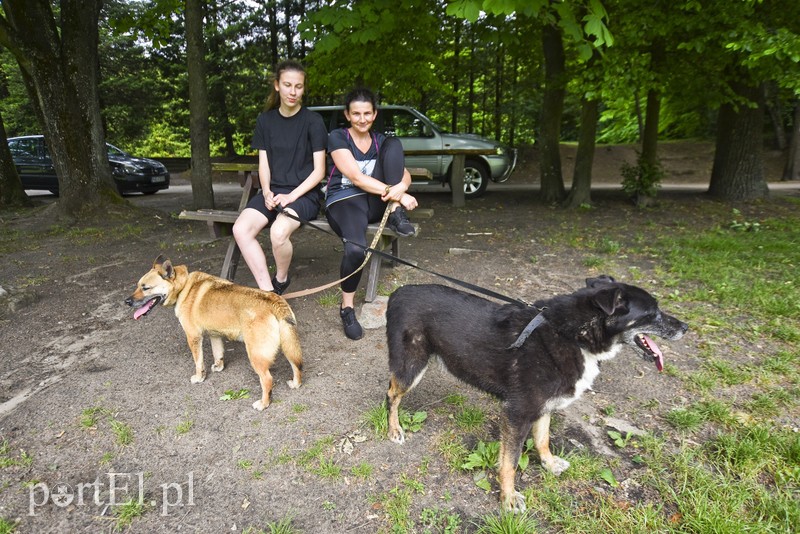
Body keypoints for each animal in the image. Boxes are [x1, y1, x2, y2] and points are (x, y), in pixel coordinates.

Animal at [125, 258, 304, 412]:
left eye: (146, 288)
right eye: (138, 286)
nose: (127, 301)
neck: (185, 287)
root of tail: (273, 300)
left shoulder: (193, 337)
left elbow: (198, 362)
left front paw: (199, 377)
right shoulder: (215, 335)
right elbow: (218, 353)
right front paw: (218, 366)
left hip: (255, 355)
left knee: (267, 379)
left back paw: (264, 403)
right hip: (288, 345)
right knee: (296, 365)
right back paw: (295, 384)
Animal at [386, 278, 688, 512]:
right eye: (652, 313)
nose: (686, 327)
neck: (572, 335)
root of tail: (398, 292)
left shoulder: (543, 406)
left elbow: (542, 440)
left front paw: (549, 464)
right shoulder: (516, 413)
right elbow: (510, 462)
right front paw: (508, 498)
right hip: (411, 367)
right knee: (391, 394)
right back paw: (394, 429)